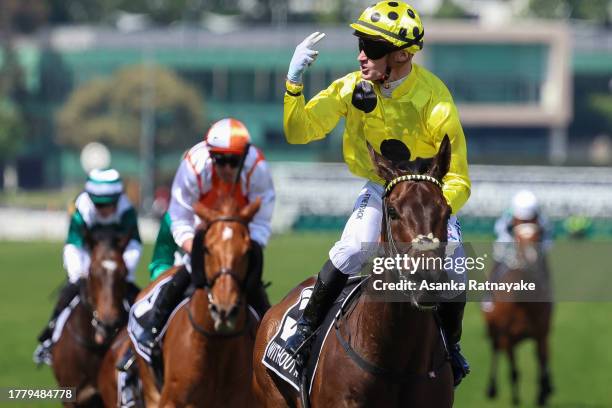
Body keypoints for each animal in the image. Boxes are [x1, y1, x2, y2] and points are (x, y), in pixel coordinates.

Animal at [135, 196, 262, 406]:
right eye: (207, 249)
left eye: (247, 251)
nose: (224, 309)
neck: (218, 343)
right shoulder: (171, 400)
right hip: (150, 388)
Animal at [482, 222, 556, 406]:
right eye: (517, 237)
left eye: (538, 236)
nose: (530, 259)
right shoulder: (508, 336)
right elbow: (514, 371)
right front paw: (515, 400)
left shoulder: (541, 333)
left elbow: (542, 361)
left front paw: (542, 395)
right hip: (494, 329)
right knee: (495, 350)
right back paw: (491, 389)